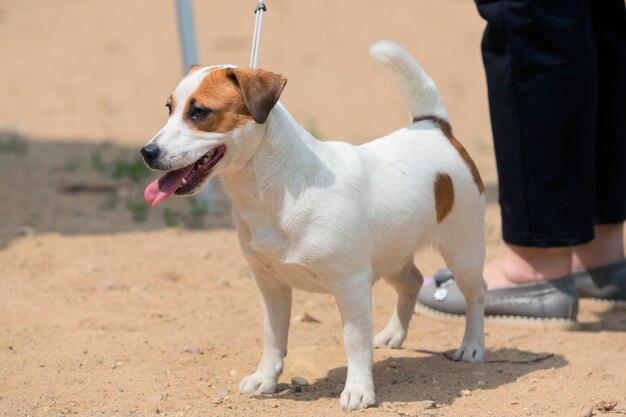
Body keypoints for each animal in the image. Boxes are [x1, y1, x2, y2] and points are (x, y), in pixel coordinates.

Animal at [143, 40, 488, 408]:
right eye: (169, 108)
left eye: (199, 112)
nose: (147, 152)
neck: (277, 190)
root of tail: (434, 128)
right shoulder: (270, 283)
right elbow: (273, 336)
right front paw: (265, 379)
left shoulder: (352, 284)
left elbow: (354, 341)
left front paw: (359, 390)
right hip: (391, 254)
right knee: (411, 281)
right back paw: (394, 334)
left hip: (463, 251)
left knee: (476, 293)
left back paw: (472, 346)